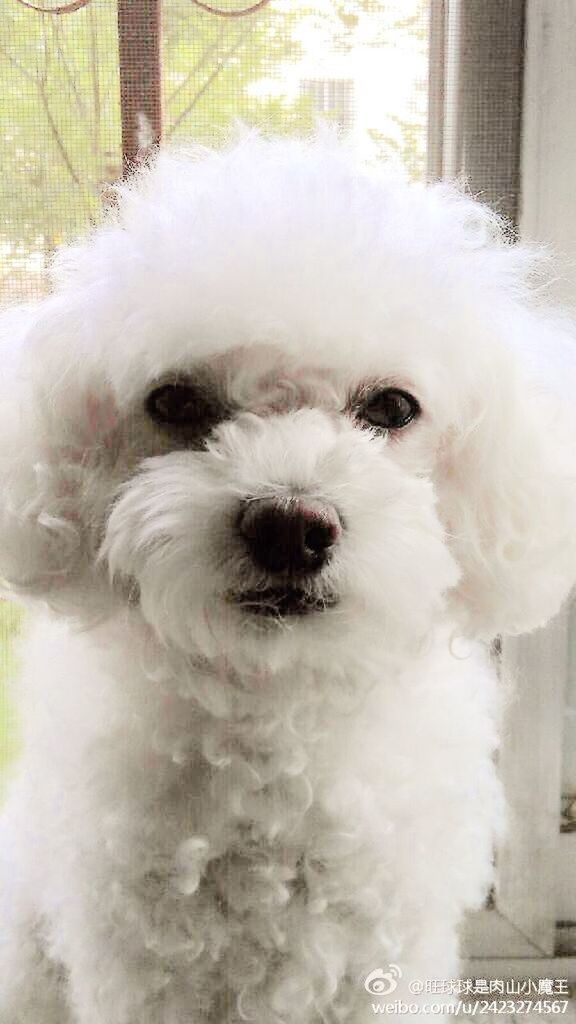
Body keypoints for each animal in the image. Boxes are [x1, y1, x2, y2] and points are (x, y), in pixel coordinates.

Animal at [1, 136, 573, 1024]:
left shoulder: (384, 955)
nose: (290, 528)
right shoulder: (139, 966)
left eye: (393, 407)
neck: (274, 713)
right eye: (175, 400)